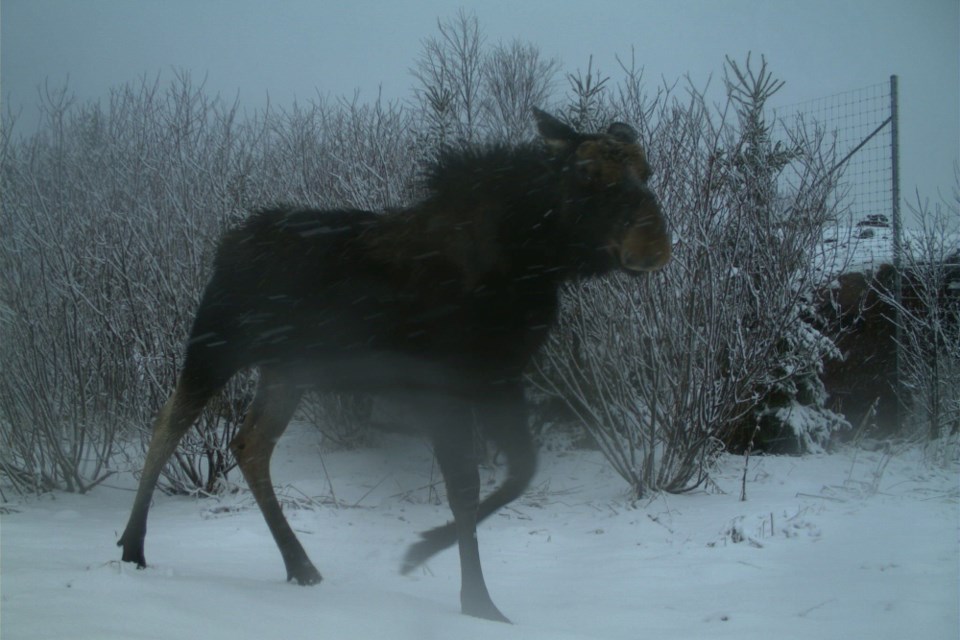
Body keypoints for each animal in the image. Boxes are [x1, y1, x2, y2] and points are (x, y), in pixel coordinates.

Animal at [120, 107, 672, 624]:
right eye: (586, 174)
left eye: (646, 169)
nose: (654, 245)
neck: (531, 264)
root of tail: (225, 246)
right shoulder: (441, 386)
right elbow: (465, 487)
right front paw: (470, 594)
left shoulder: (500, 378)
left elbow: (520, 472)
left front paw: (437, 559)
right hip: (216, 345)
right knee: (169, 421)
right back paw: (133, 547)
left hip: (287, 371)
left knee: (250, 444)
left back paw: (301, 565)